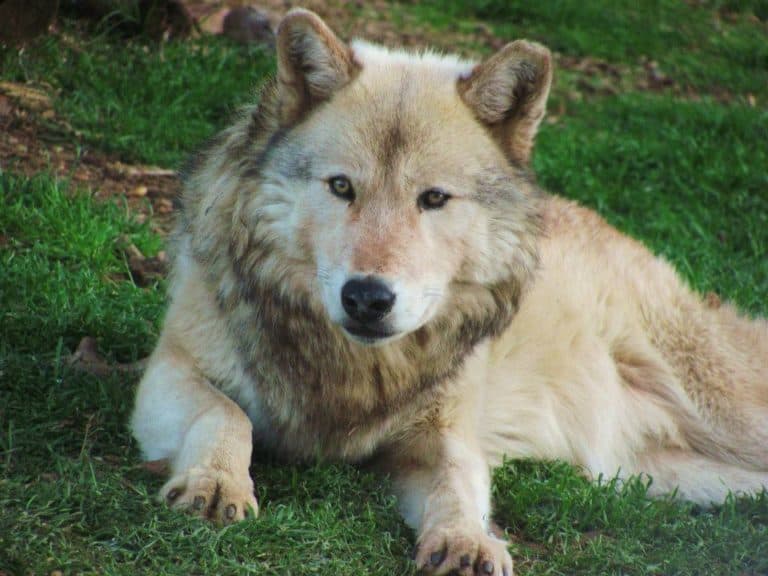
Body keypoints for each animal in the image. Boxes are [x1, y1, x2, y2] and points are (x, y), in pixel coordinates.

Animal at [131, 9, 768, 575]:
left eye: (433, 199)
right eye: (342, 187)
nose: (367, 298)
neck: (353, 372)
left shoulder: (445, 433)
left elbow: (458, 484)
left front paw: (466, 541)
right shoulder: (170, 369)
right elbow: (226, 412)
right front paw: (216, 482)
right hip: (657, 474)